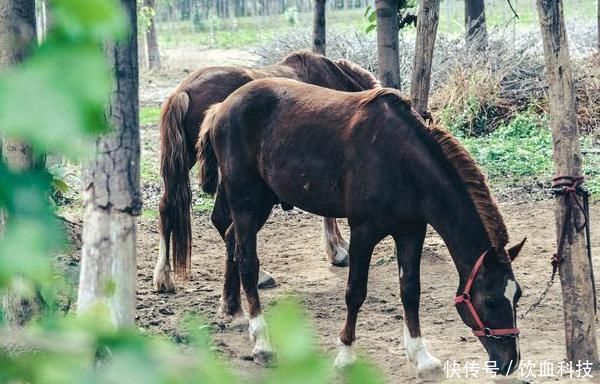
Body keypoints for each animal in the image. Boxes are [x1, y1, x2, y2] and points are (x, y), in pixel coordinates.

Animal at [155, 50, 380, 292]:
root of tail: (182, 92)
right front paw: (336, 250)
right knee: (223, 221)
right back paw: (260, 276)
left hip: (186, 159)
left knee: (167, 206)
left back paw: (163, 276)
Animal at [198, 79, 524, 378]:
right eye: (490, 300)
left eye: (517, 295)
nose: (510, 361)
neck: (401, 161)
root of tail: (222, 107)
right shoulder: (363, 233)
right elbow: (355, 292)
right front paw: (345, 356)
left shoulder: (411, 231)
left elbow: (411, 290)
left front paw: (421, 356)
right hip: (246, 200)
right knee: (248, 261)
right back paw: (263, 343)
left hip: (264, 200)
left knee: (232, 242)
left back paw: (233, 311)